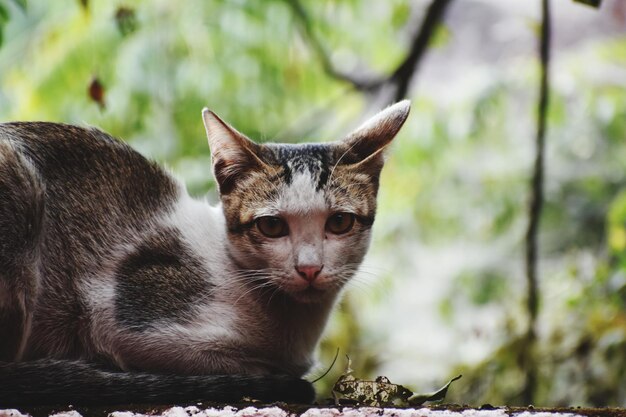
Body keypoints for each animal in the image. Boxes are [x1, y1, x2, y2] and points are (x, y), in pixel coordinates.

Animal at [0, 99, 410, 404]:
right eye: (271, 226)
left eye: (339, 222)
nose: (309, 268)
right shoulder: (116, 319)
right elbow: (238, 366)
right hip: (23, 192)